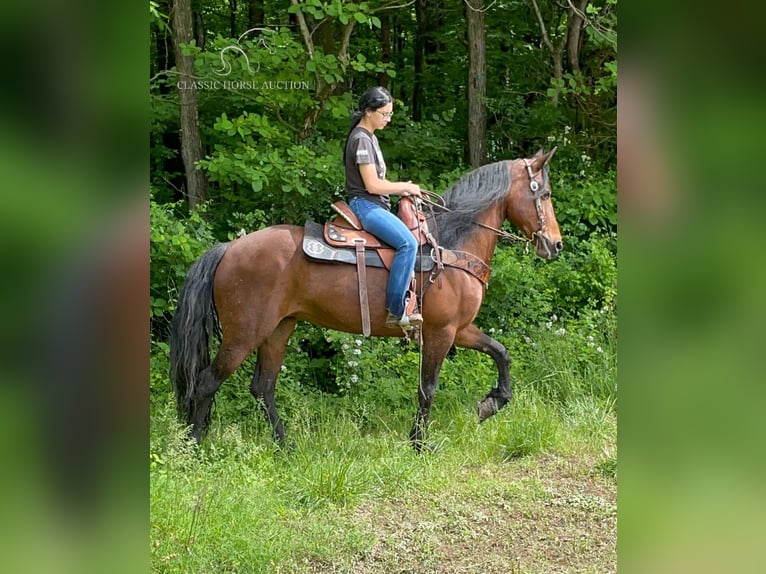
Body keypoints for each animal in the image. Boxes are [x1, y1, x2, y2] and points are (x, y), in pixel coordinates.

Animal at [172, 147, 564, 450]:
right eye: (544, 194)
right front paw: (420, 444)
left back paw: (285, 445)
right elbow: (428, 388)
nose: (556, 244)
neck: (451, 245)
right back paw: (194, 445)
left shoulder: (461, 329)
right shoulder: (440, 332)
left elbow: (501, 353)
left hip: (278, 330)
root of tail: (227, 249)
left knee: (262, 387)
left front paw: (491, 404)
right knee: (206, 382)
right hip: (243, 334)